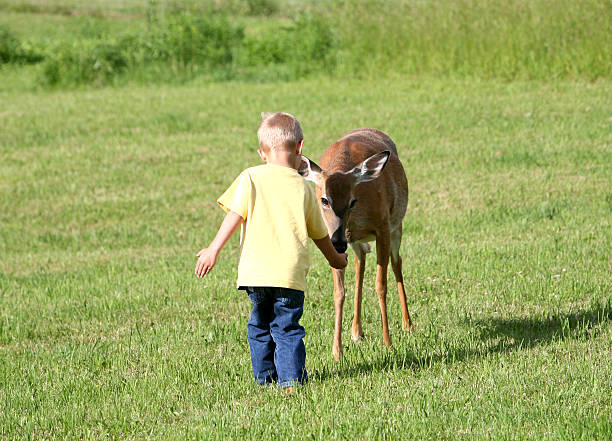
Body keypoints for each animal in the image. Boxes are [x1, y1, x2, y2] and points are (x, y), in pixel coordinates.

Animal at [300, 127, 414, 358]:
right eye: (324, 200)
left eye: (352, 201)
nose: (338, 241)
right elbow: (338, 292)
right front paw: (336, 351)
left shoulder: (383, 227)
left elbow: (381, 285)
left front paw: (388, 343)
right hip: (357, 242)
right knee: (360, 264)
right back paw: (356, 331)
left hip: (396, 225)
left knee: (396, 263)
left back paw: (408, 324)